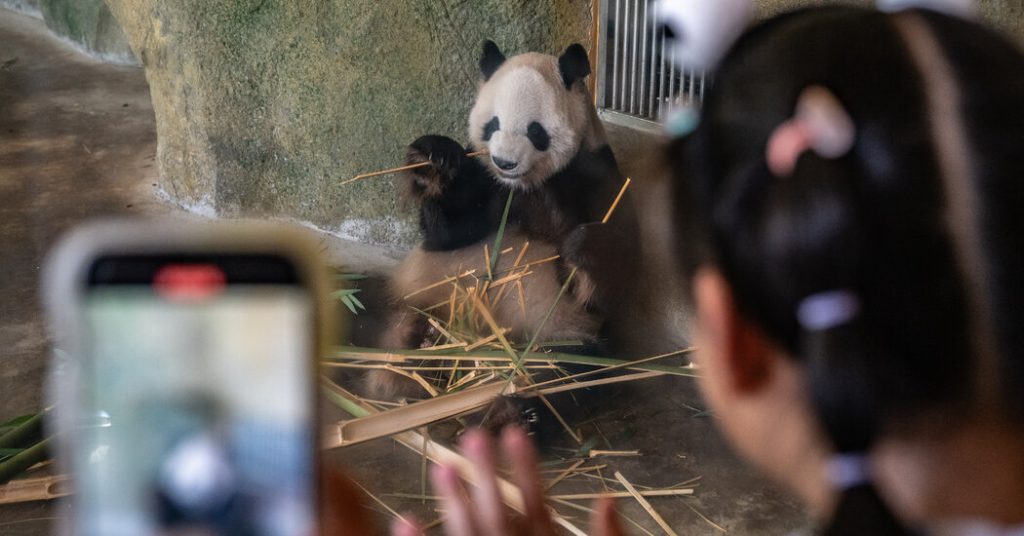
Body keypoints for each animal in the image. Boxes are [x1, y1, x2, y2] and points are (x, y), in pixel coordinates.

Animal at [367, 40, 641, 432]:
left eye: (535, 131)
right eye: (492, 124)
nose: (504, 162)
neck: (526, 185)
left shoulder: (594, 172)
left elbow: (613, 273)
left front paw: (580, 249)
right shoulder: (485, 181)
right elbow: (448, 234)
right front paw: (433, 162)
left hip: (560, 332)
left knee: (570, 372)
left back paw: (511, 414)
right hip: (418, 294)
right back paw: (412, 349)